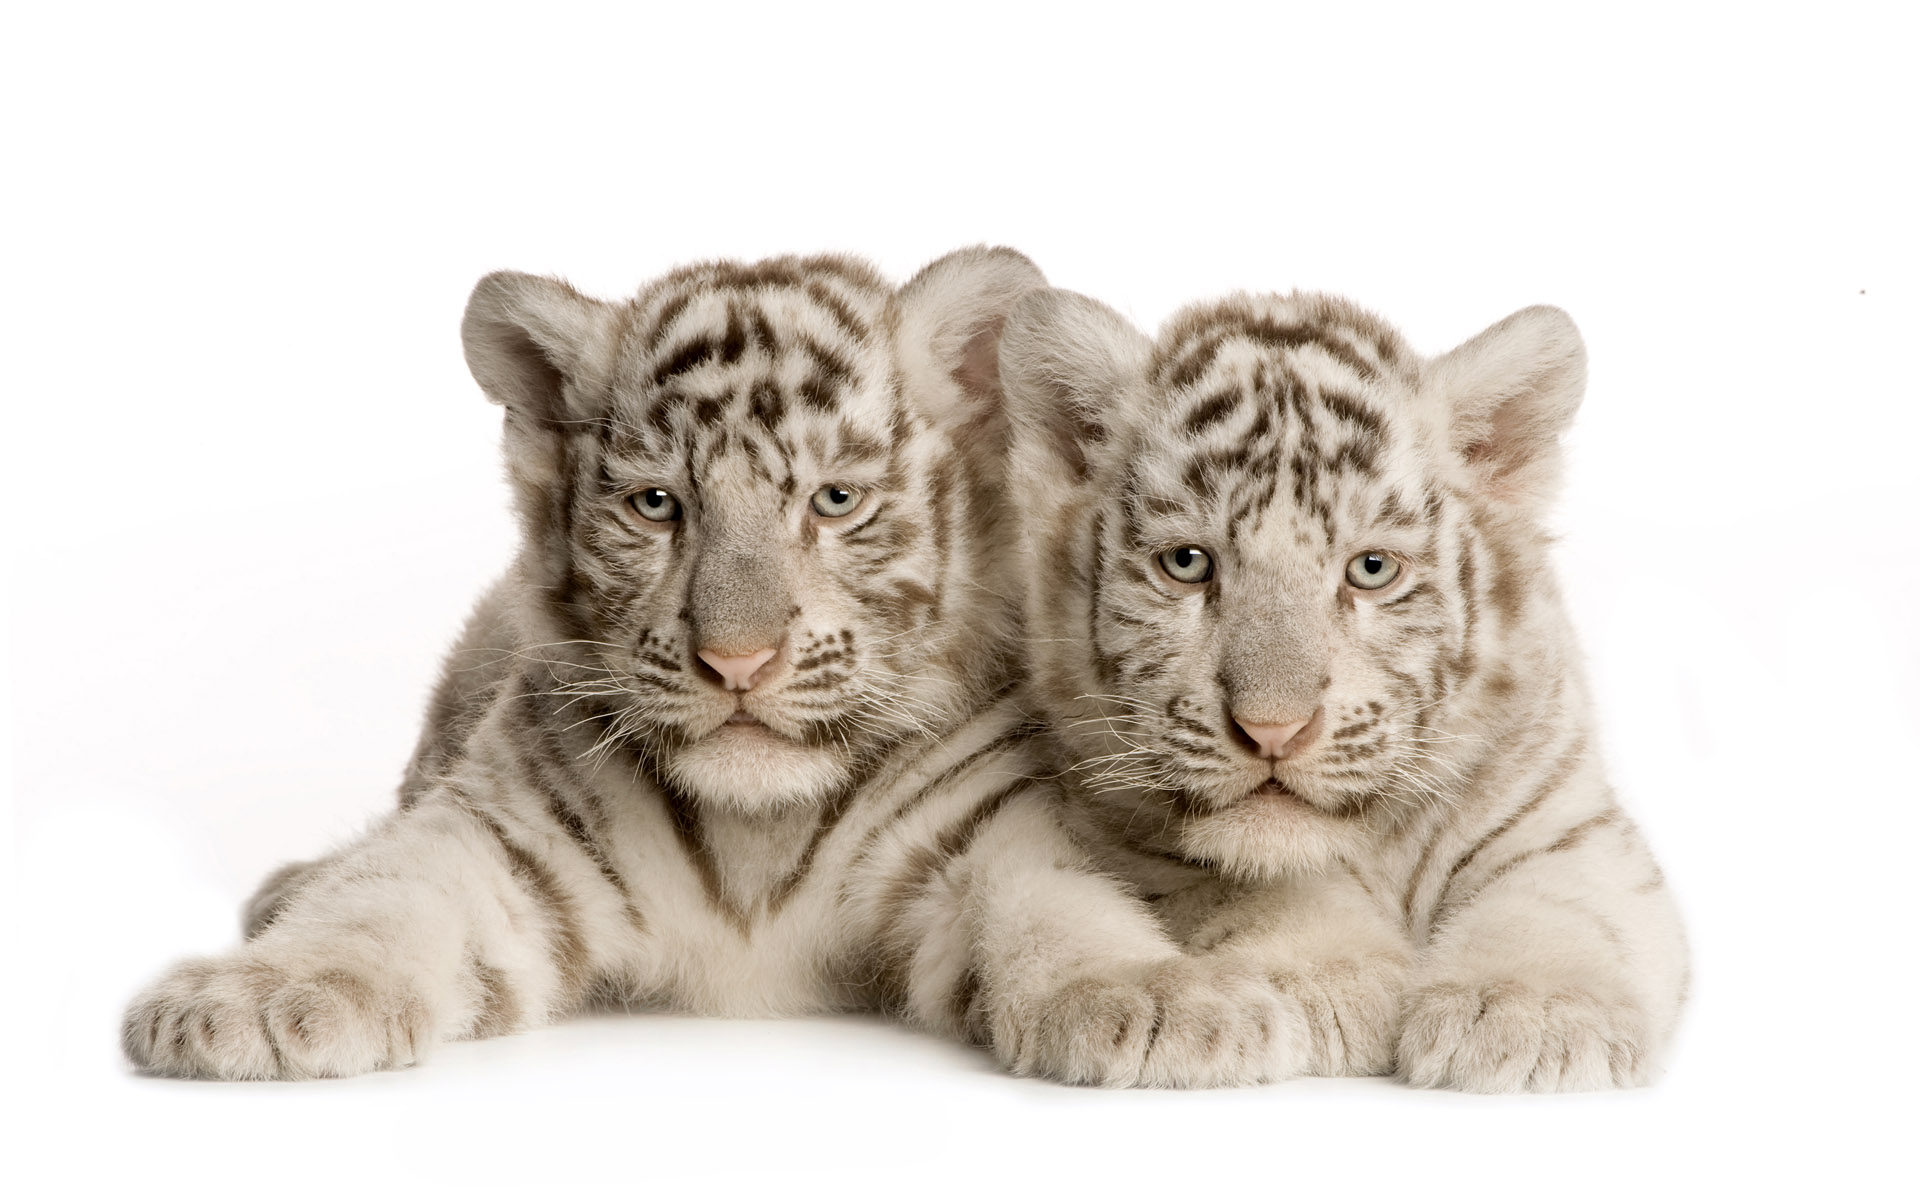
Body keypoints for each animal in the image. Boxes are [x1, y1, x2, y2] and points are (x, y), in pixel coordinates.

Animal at [124, 249, 1280, 1083]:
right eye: (657, 506)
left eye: (833, 501)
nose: (737, 659)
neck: (754, 837)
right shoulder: (499, 832)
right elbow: (382, 897)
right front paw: (254, 999)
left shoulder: (987, 836)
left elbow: (1064, 910)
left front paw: (1163, 1003)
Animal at [989, 285, 1690, 1091]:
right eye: (1187, 563)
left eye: (1371, 569)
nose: (1273, 730)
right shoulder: (1123, 832)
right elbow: (1258, 889)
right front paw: (1328, 981)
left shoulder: (1569, 821)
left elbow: (1565, 904)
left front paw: (1531, 1015)